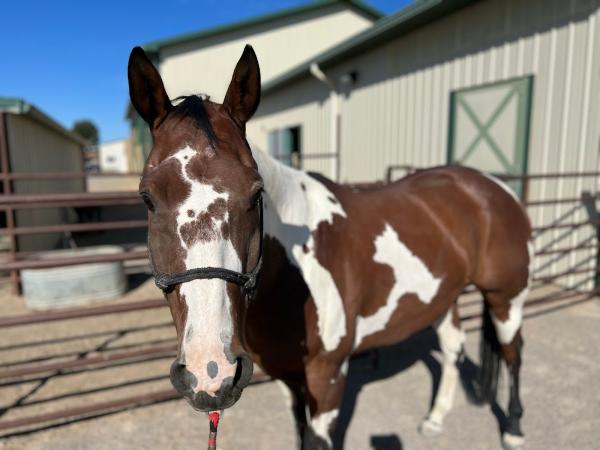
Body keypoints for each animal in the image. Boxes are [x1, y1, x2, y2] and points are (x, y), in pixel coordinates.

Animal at [129, 43, 532, 450]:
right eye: (147, 198)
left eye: (256, 194)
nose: (210, 371)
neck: (294, 276)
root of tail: (492, 185)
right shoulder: (289, 378)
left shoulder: (328, 379)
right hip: (443, 295)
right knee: (452, 348)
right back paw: (435, 419)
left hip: (506, 298)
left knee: (513, 352)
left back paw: (514, 428)